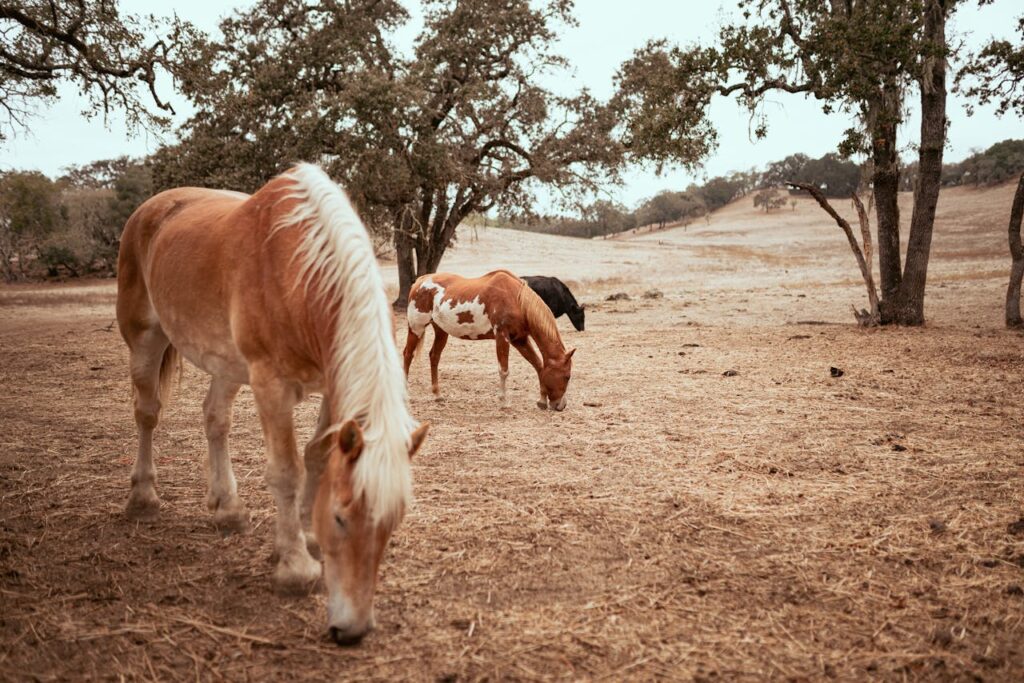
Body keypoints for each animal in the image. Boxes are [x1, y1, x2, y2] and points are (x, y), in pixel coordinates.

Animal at [116, 163, 428, 646]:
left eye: (393, 522)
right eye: (340, 518)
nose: (352, 629)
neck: (298, 271)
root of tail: (151, 208)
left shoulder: (331, 383)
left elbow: (316, 458)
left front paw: (304, 536)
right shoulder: (271, 386)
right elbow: (286, 471)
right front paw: (296, 568)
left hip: (226, 364)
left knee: (215, 418)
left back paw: (227, 508)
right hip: (146, 339)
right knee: (147, 413)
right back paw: (144, 498)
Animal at [402, 270, 575, 410]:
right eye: (567, 376)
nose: (561, 406)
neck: (517, 299)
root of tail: (420, 281)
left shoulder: (520, 339)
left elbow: (538, 366)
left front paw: (541, 401)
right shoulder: (502, 336)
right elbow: (504, 370)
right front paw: (504, 402)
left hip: (441, 332)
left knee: (434, 356)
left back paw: (437, 395)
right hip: (416, 328)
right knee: (407, 355)